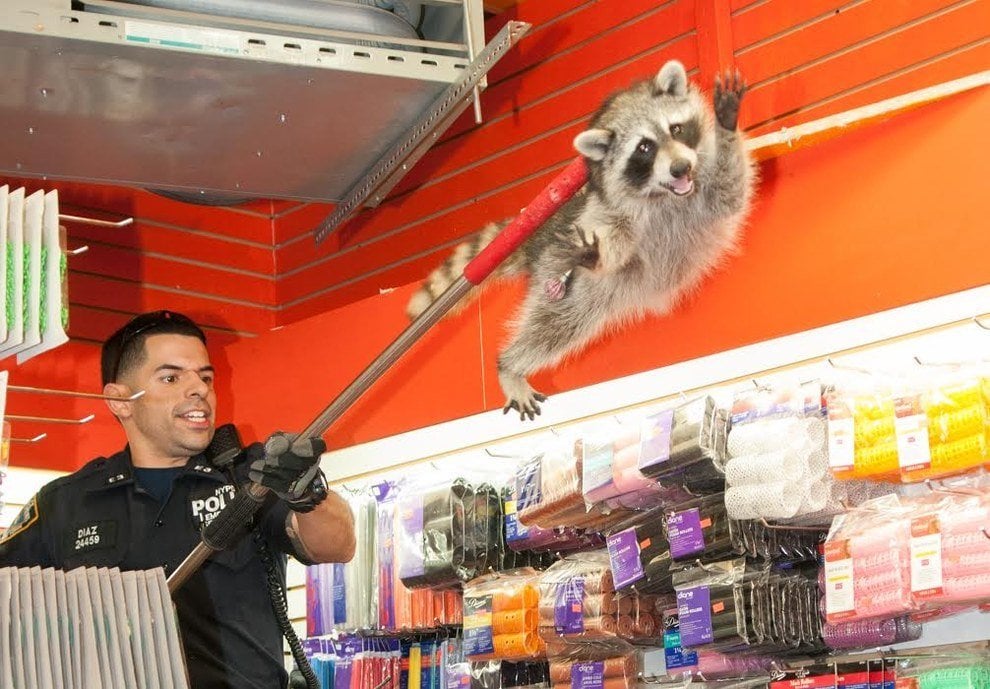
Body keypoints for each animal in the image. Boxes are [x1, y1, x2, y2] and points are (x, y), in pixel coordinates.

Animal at [406, 60, 756, 420]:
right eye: (644, 148)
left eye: (675, 129)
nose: (680, 167)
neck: (666, 193)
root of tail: (541, 235)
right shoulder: (605, 214)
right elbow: (610, 241)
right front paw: (597, 255)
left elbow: (730, 194)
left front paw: (726, 124)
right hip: (565, 276)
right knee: (555, 325)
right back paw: (510, 365)